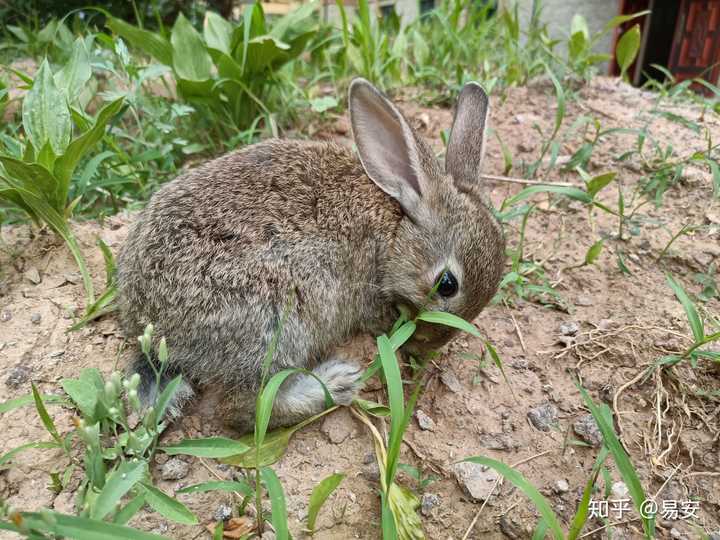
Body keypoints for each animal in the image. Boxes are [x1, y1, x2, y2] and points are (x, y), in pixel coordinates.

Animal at [115, 77, 504, 430]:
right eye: (447, 284)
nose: (428, 344)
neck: (397, 230)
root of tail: (150, 325)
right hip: (275, 319)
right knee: (240, 409)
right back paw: (335, 383)